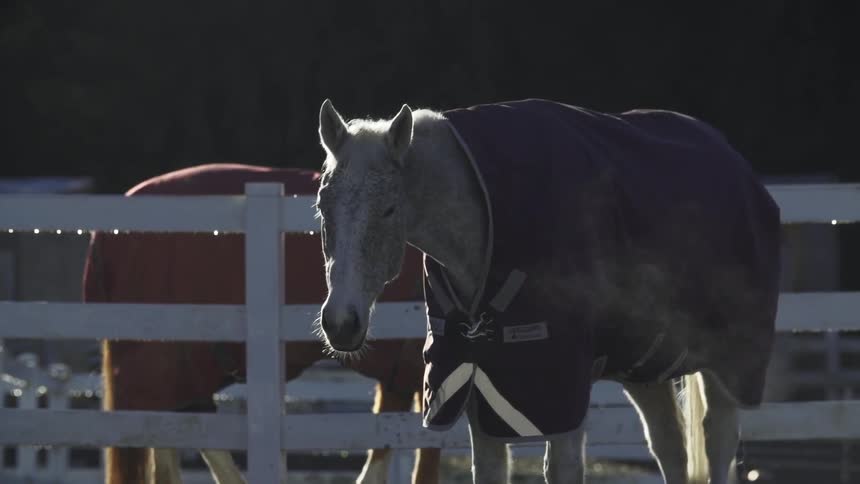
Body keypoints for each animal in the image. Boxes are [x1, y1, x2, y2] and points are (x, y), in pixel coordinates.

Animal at [313, 98, 781, 484]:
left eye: (389, 209)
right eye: (322, 206)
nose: (341, 322)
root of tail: (734, 161)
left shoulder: (564, 392)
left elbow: (562, 470)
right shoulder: (477, 388)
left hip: (725, 366)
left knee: (717, 442)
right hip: (645, 367)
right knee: (670, 448)